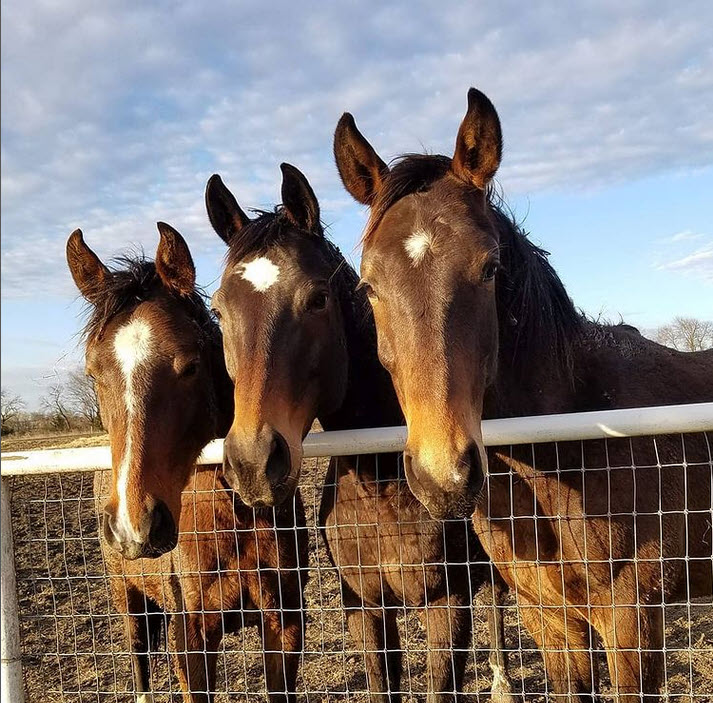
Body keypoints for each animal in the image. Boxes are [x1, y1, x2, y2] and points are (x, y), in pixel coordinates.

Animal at [67, 228, 308, 700]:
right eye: (93, 374)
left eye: (191, 366)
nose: (135, 525)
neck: (233, 519)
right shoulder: (191, 634)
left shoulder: (284, 622)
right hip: (128, 598)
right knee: (139, 658)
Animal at [206, 166, 516, 703]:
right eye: (220, 310)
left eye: (317, 298)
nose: (252, 462)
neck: (381, 488)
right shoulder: (365, 608)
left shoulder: (448, 604)